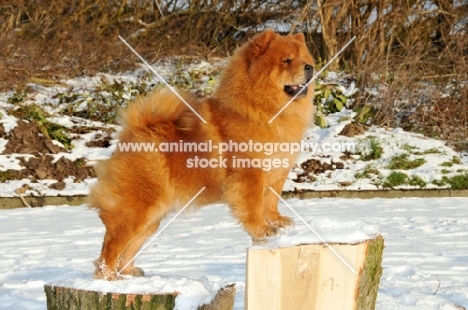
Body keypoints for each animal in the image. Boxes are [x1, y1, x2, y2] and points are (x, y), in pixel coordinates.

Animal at [90, 29, 314, 280]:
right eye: (286, 61)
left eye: (304, 58)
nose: (310, 68)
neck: (265, 110)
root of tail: (134, 131)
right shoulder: (250, 173)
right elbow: (254, 205)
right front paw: (262, 229)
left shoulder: (277, 172)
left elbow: (271, 200)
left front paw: (278, 222)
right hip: (139, 208)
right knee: (112, 244)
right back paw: (108, 277)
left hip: (153, 216)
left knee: (129, 246)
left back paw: (129, 274)